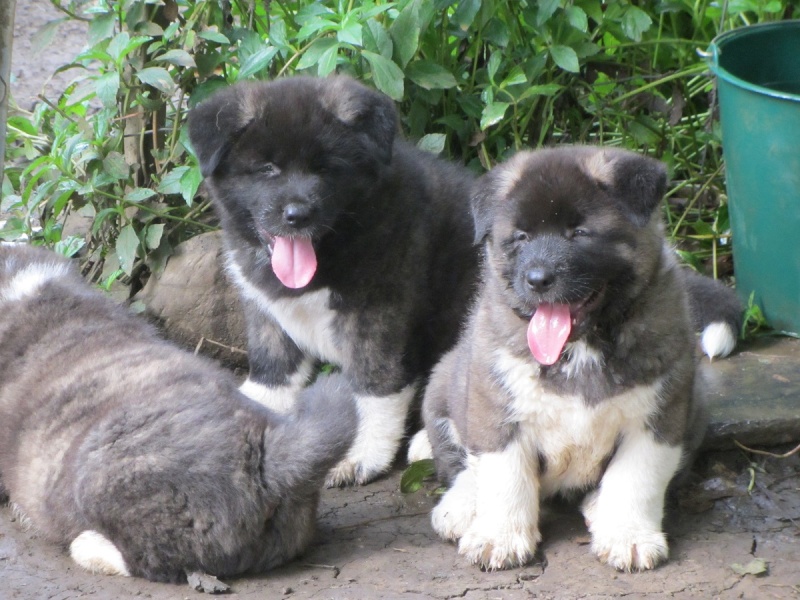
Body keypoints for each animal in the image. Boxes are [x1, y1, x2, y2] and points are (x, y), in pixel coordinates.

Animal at [188, 76, 482, 488]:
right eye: (267, 168)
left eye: (326, 168)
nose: (297, 215)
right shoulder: (267, 312)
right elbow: (271, 366)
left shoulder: (376, 312)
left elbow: (376, 383)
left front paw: (362, 454)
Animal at [422, 145, 740, 572]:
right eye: (521, 237)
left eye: (579, 233)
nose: (537, 279)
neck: (582, 348)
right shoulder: (496, 406)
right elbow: (504, 475)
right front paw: (499, 537)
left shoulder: (658, 418)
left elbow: (635, 478)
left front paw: (628, 535)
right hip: (445, 382)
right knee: (462, 463)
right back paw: (460, 506)